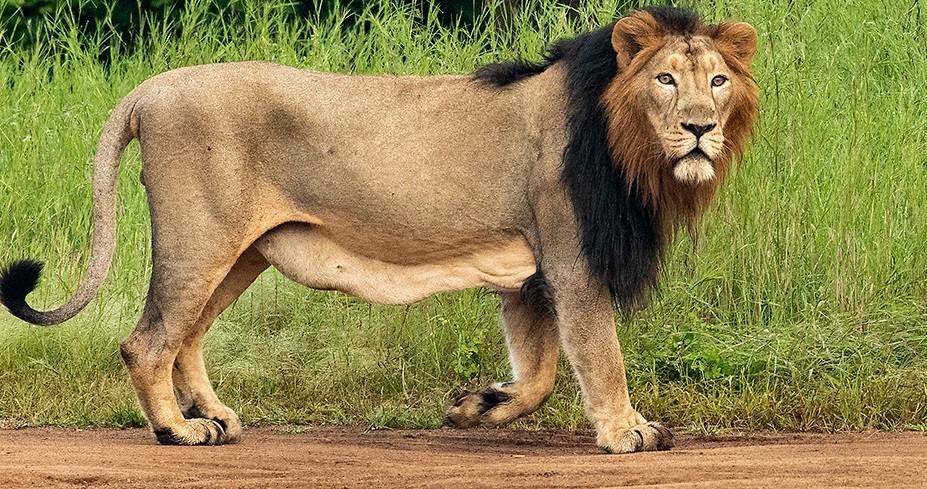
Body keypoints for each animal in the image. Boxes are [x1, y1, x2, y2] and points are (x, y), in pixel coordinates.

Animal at [0, 7, 758, 453]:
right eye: (665, 79)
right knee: (147, 340)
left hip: (241, 253)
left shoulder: (528, 273)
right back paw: (177, 431)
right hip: (200, 238)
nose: (700, 128)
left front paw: (477, 407)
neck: (630, 147)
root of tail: (151, 87)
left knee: (185, 336)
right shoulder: (572, 259)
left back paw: (214, 416)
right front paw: (626, 431)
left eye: (717, 81)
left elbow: (539, 373)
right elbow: (600, 354)